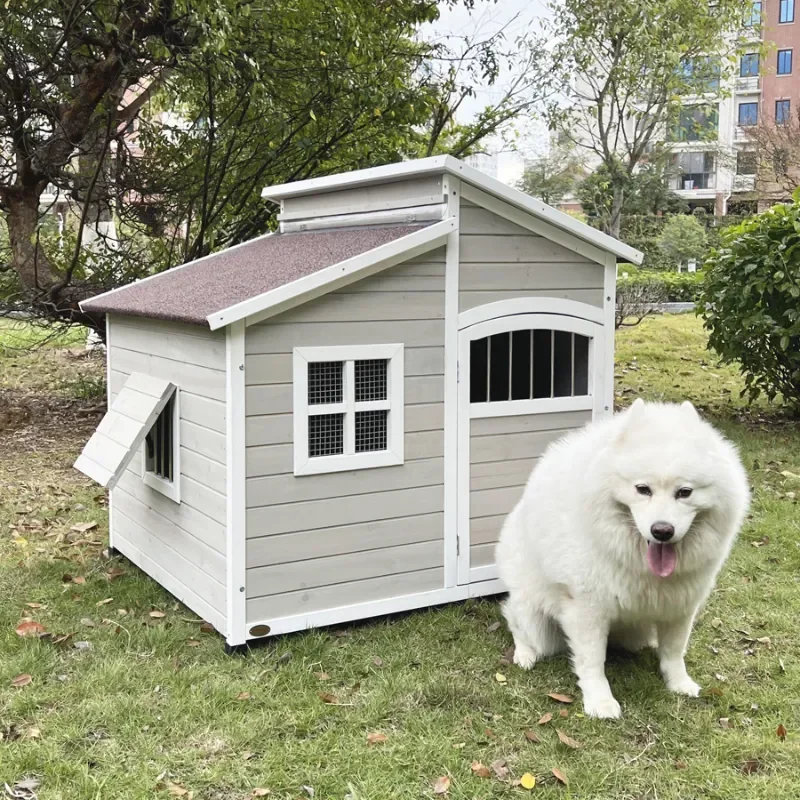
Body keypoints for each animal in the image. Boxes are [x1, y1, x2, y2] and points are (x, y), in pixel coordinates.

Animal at [496, 400, 752, 720]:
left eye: (685, 492)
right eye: (642, 489)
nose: (662, 530)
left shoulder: (680, 604)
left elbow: (674, 651)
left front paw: (678, 683)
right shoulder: (588, 608)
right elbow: (592, 661)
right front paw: (600, 702)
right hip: (534, 618)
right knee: (515, 620)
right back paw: (524, 654)